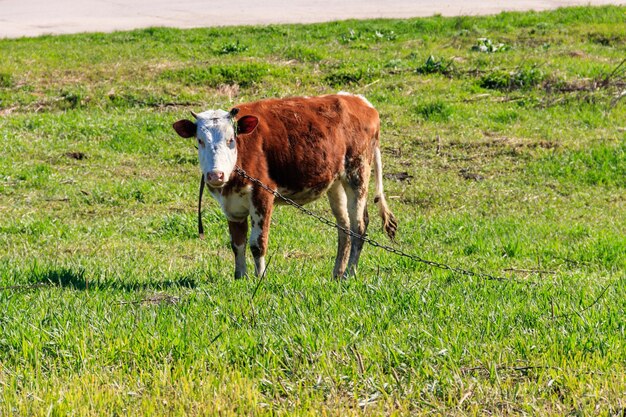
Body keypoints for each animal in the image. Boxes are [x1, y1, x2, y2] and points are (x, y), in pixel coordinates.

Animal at [172, 92, 394, 278]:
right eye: (200, 141)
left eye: (231, 139)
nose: (215, 175)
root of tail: (359, 101)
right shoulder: (231, 205)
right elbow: (237, 243)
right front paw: (240, 277)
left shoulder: (262, 195)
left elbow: (257, 243)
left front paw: (260, 278)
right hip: (336, 183)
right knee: (344, 227)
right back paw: (337, 273)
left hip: (357, 174)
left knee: (359, 226)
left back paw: (349, 273)